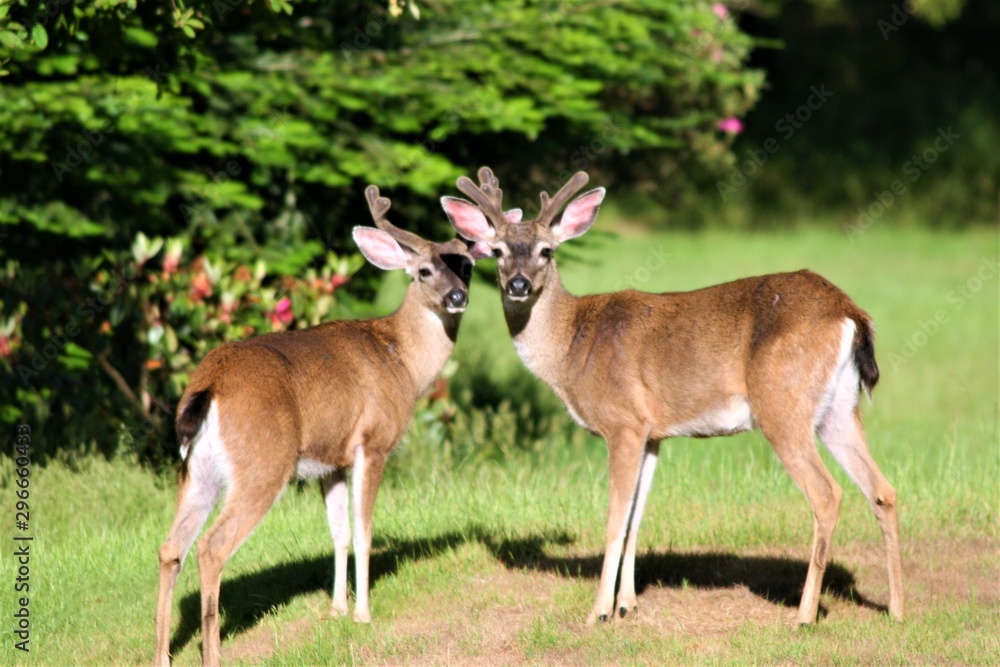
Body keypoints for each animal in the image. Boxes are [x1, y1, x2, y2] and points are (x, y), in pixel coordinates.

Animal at [151, 184, 488, 667]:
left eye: (468, 267)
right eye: (424, 270)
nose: (458, 297)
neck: (401, 359)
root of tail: (210, 383)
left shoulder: (331, 460)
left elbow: (339, 533)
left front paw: (336, 611)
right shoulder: (374, 442)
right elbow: (364, 531)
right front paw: (364, 615)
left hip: (197, 470)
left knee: (171, 546)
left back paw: (161, 654)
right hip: (264, 461)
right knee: (211, 547)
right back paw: (213, 653)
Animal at [442, 167, 904, 628]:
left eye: (546, 251)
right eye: (498, 250)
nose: (518, 284)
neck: (572, 347)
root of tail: (849, 311)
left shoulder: (623, 422)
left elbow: (614, 519)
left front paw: (599, 612)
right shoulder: (653, 433)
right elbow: (636, 518)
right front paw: (627, 604)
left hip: (782, 404)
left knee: (827, 494)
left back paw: (804, 616)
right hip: (838, 409)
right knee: (882, 489)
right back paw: (897, 610)